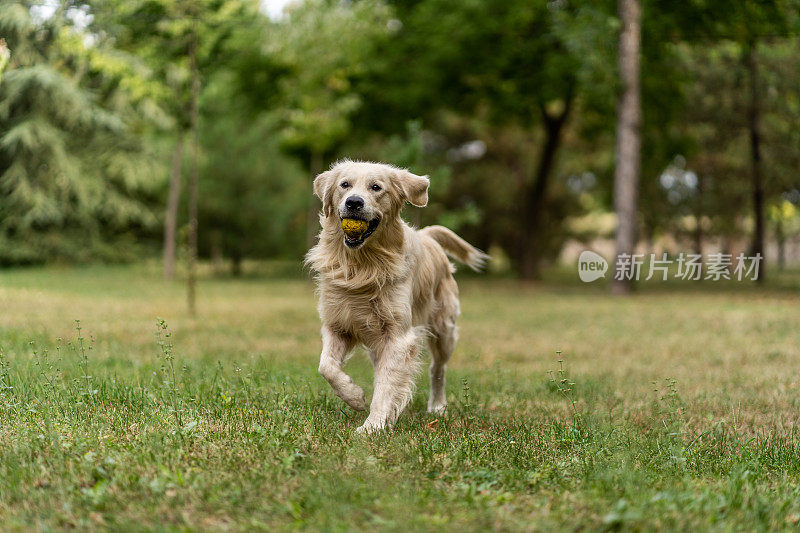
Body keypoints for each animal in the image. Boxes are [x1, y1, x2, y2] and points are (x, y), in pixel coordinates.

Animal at [304, 159, 482, 432]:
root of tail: (427, 235)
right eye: (344, 185)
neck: (363, 265)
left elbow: (387, 384)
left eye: (376, 187)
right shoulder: (338, 324)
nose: (354, 202)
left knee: (437, 368)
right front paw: (355, 397)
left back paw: (437, 406)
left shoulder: (398, 336)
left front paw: (373, 426)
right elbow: (326, 367)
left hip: (444, 329)